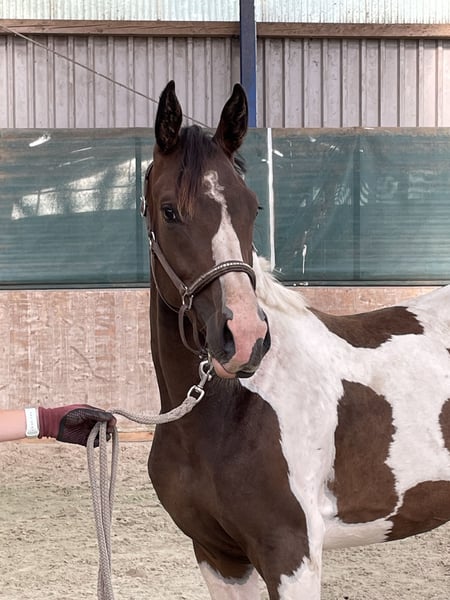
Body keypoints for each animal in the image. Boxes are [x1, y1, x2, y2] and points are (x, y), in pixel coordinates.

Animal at [142, 80, 450, 599]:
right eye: (170, 211)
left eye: (253, 207)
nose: (245, 337)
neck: (233, 409)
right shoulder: (218, 556)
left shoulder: (290, 553)